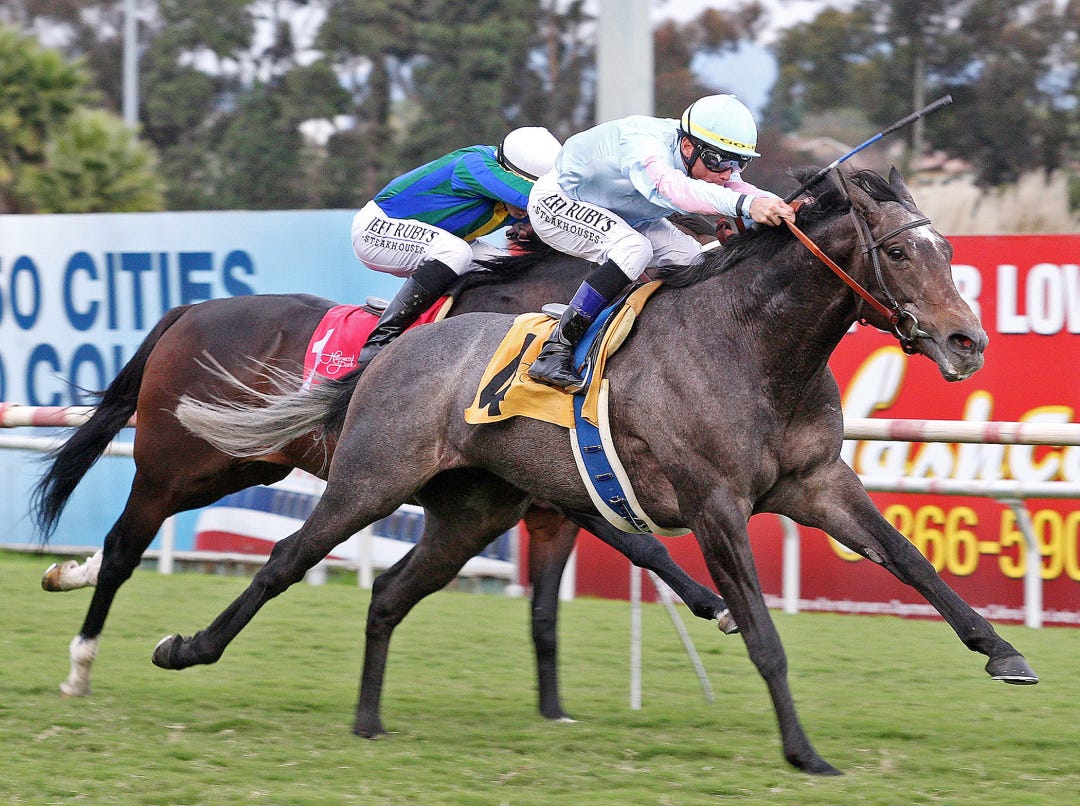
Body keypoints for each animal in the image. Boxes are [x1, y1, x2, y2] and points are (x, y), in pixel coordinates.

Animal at [32, 233, 734, 718]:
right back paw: (80, 664)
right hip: (172, 464)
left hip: (238, 462)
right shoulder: (540, 486)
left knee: (125, 543)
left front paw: (557, 709)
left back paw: (68, 574)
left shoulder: (549, 500)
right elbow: (641, 545)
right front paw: (718, 604)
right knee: (126, 545)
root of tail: (191, 311)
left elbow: (558, 601)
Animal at [158, 165, 1038, 775]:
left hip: (472, 510)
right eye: (897, 251)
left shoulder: (819, 483)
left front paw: (1002, 651)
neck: (753, 347)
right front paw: (804, 751)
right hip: (370, 480)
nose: (967, 343)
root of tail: (395, 347)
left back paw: (368, 720)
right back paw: (187, 649)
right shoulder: (714, 505)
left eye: (949, 250)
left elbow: (910, 560)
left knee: (389, 592)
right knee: (285, 560)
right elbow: (762, 632)